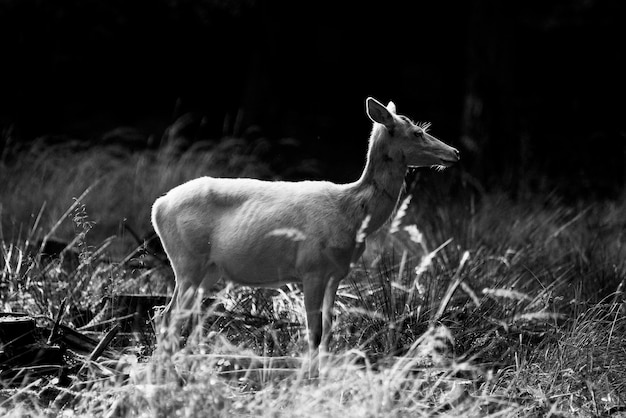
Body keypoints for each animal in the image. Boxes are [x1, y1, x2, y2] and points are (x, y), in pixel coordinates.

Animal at [151, 98, 458, 372]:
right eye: (417, 132)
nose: (455, 152)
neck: (351, 214)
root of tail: (158, 206)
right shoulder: (311, 268)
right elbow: (314, 333)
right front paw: (308, 381)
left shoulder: (336, 273)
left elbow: (329, 331)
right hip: (188, 261)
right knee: (168, 318)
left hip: (208, 271)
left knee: (176, 318)